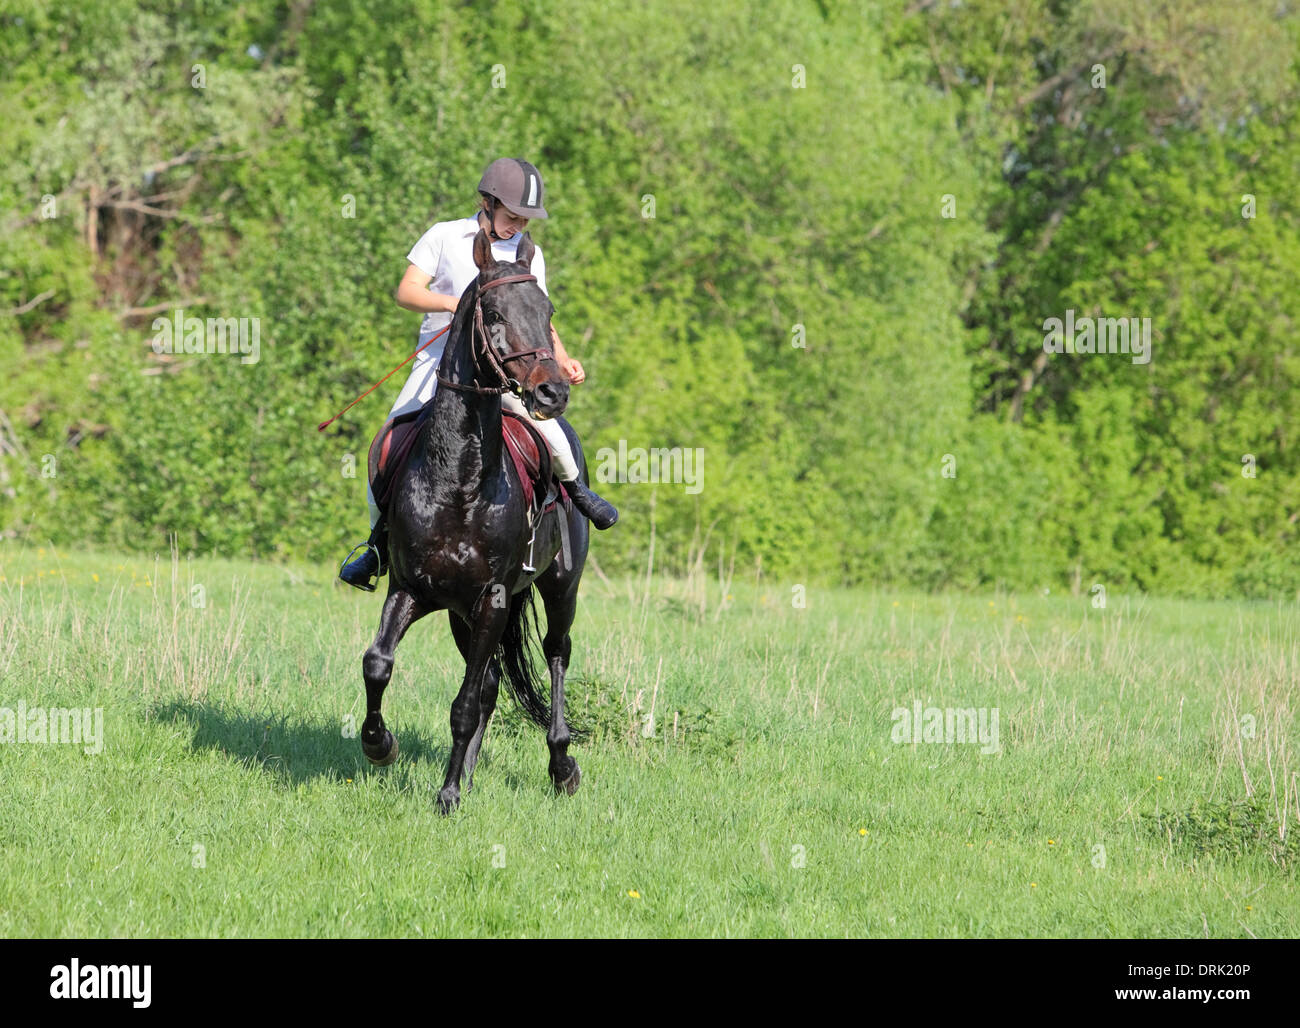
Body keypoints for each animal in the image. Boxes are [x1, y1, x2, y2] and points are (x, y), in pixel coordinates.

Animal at [361, 227, 595, 810]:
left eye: (547, 312)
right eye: (493, 314)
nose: (554, 391)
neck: (459, 482)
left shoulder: (491, 598)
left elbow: (464, 704)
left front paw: (446, 797)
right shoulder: (412, 589)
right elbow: (378, 663)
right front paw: (379, 745)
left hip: (560, 587)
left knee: (556, 654)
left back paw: (561, 766)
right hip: (461, 613)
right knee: (489, 683)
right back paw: (466, 772)